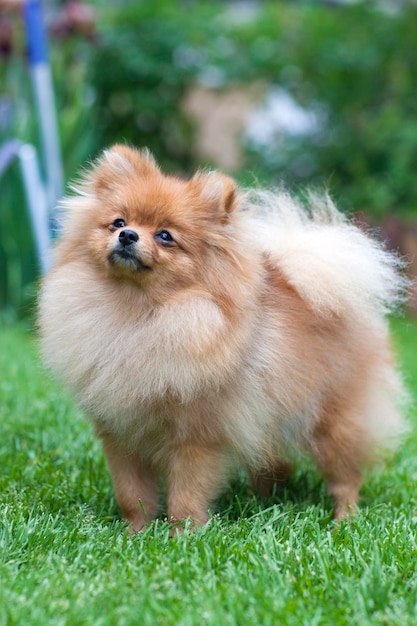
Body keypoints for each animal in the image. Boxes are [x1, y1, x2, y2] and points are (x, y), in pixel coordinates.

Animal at [37, 146, 408, 532]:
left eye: (165, 236)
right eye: (118, 223)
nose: (128, 237)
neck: (136, 314)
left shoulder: (196, 438)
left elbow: (185, 496)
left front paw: (182, 534)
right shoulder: (121, 434)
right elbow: (132, 494)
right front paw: (134, 532)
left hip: (332, 421)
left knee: (345, 477)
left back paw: (343, 520)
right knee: (275, 464)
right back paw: (262, 501)